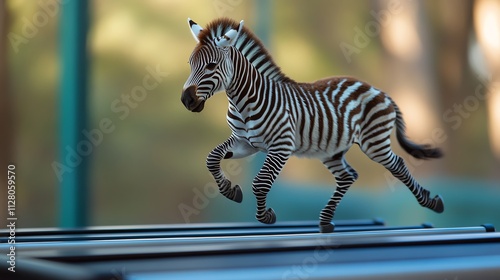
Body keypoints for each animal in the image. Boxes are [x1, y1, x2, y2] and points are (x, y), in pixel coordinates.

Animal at [181, 16, 446, 233]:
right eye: (190, 64)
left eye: (211, 66)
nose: (186, 100)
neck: (244, 100)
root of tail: (379, 90)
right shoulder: (245, 143)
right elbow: (212, 158)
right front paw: (230, 191)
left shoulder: (281, 145)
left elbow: (260, 182)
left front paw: (266, 216)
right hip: (331, 150)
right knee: (348, 176)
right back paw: (326, 221)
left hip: (374, 143)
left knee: (398, 165)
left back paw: (432, 202)